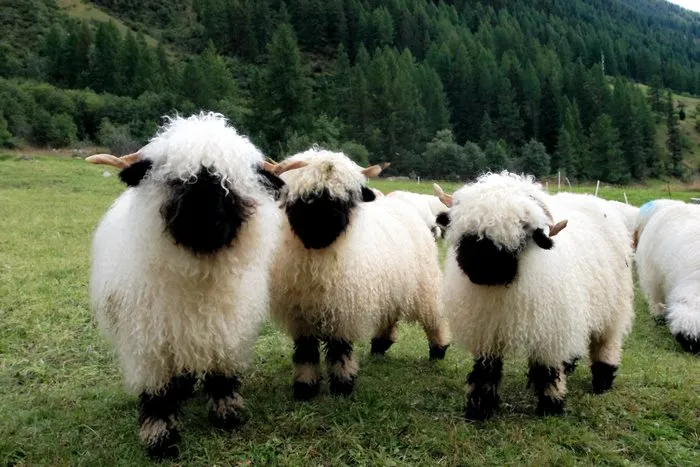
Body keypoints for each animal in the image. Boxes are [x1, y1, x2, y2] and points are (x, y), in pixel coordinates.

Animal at [86, 112, 291, 459]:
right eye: (177, 180)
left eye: (229, 183)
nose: (207, 223)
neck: (197, 274)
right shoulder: (151, 344)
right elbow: (157, 393)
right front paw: (160, 438)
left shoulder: (226, 331)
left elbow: (222, 375)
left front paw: (227, 414)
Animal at [267, 149, 450, 400]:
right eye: (307, 197)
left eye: (345, 198)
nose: (324, 224)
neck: (318, 258)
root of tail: (400, 202)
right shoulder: (300, 314)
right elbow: (306, 352)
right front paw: (305, 387)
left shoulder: (344, 310)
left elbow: (340, 349)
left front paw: (342, 385)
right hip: (389, 285)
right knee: (390, 314)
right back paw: (379, 345)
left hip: (424, 283)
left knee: (433, 317)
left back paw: (438, 349)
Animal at [435, 172, 634, 420]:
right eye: (467, 230)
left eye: (522, 231)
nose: (481, 269)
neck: (502, 289)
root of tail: (589, 198)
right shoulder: (487, 329)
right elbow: (485, 370)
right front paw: (479, 408)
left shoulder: (548, 328)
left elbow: (546, 369)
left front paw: (551, 405)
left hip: (613, 306)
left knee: (607, 342)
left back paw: (603, 380)